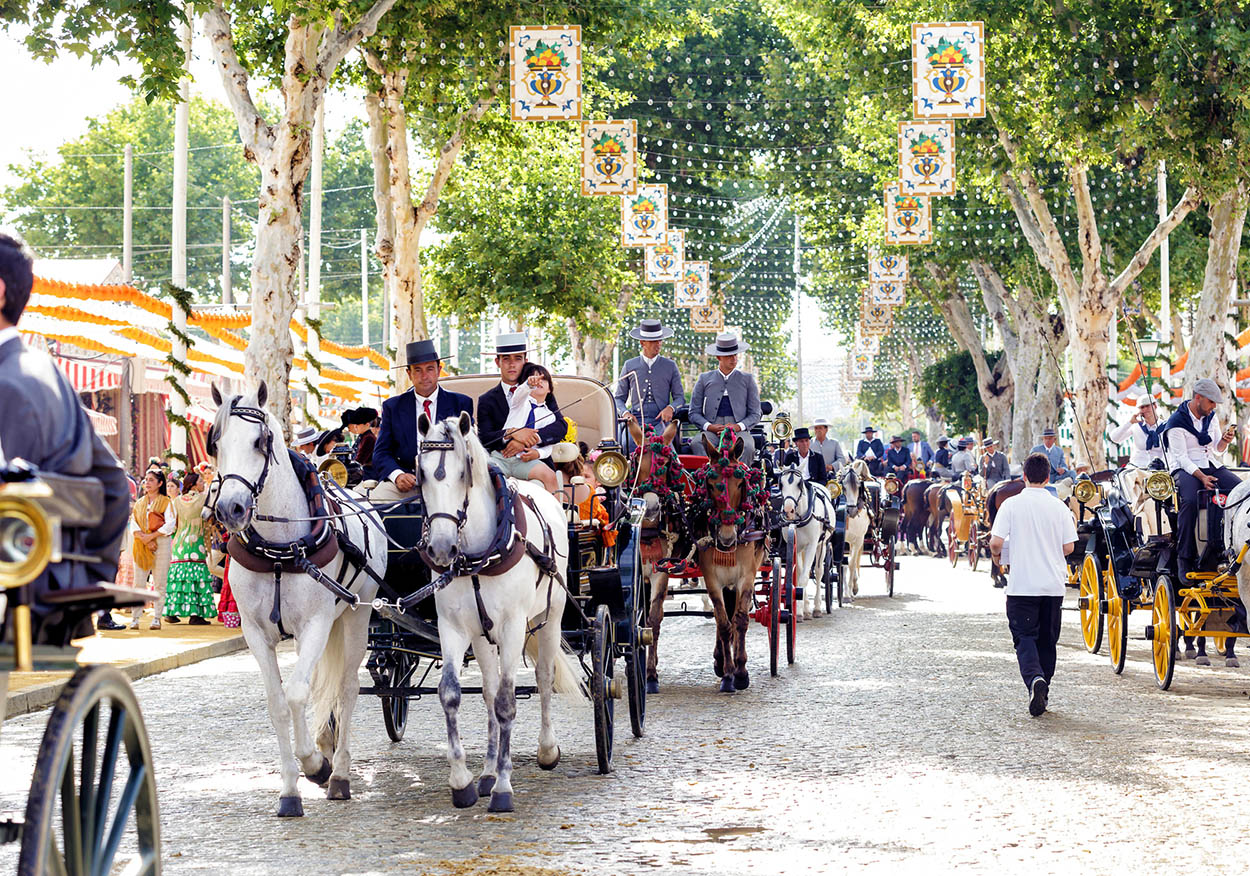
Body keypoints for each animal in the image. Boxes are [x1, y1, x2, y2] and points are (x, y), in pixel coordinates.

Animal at [207, 382, 382, 814]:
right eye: (216, 443)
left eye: (260, 441)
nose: (230, 509)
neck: (280, 551)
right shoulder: (256, 632)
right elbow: (278, 701)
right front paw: (290, 789)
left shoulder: (316, 624)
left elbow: (299, 693)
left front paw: (315, 765)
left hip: (356, 616)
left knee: (347, 687)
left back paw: (339, 774)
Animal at [412, 412, 582, 809]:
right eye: (421, 473)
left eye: (464, 472)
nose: (441, 548)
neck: (479, 556)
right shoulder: (453, 627)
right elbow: (452, 694)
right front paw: (463, 781)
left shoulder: (513, 626)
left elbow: (507, 701)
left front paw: (504, 786)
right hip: (482, 635)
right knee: (488, 690)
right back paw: (488, 772)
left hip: (549, 618)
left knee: (545, 678)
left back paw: (546, 750)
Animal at [695, 429, 760, 689]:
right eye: (711, 485)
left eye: (741, 483)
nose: (726, 537)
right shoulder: (711, 577)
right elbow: (723, 622)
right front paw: (729, 672)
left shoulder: (747, 575)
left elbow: (740, 620)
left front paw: (741, 671)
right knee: (720, 616)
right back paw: (720, 660)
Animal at [780, 464, 840, 614]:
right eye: (781, 483)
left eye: (799, 484)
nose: (788, 511)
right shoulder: (795, 546)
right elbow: (799, 574)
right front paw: (802, 608)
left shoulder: (812, 545)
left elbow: (805, 576)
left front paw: (800, 610)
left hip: (821, 545)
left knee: (819, 572)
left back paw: (817, 607)